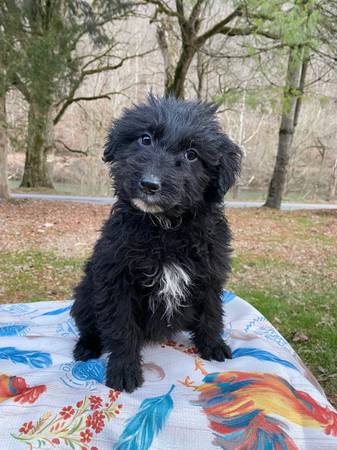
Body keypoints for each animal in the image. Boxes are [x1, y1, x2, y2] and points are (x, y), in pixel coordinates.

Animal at [71, 96, 242, 392]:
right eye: (145, 139)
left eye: (192, 154)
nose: (150, 184)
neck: (165, 228)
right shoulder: (117, 281)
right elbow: (121, 328)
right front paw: (124, 369)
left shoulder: (210, 274)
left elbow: (211, 312)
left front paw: (212, 345)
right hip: (85, 295)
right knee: (89, 325)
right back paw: (87, 346)